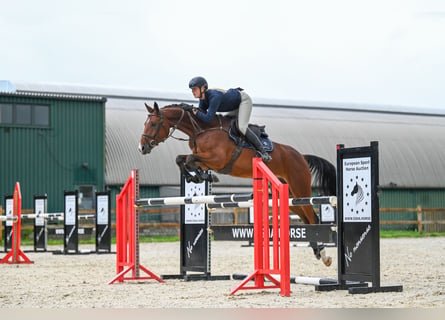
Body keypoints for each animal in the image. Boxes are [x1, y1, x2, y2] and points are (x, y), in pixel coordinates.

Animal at [137, 102, 334, 264]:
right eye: (145, 123)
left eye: (153, 124)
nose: (142, 148)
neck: (202, 130)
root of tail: (301, 156)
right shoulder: (205, 160)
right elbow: (182, 159)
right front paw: (197, 177)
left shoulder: (217, 160)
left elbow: (191, 159)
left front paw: (203, 177)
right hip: (287, 195)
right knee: (305, 218)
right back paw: (317, 251)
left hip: (300, 188)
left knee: (313, 217)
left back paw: (324, 254)